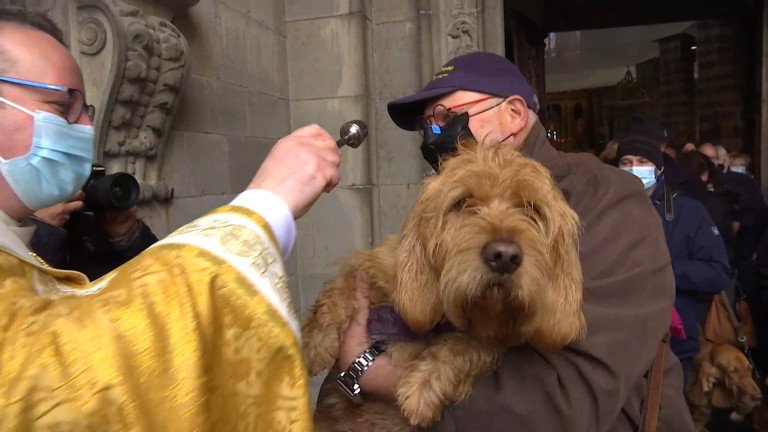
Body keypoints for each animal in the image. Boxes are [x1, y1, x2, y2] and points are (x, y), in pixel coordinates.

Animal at [304, 142, 584, 428]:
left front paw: (424, 385)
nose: (504, 257)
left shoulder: (495, 338)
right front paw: (316, 343)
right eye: (462, 202)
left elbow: (469, 345)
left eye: (532, 209)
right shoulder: (381, 265)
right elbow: (345, 282)